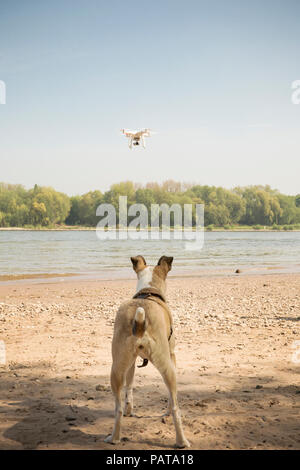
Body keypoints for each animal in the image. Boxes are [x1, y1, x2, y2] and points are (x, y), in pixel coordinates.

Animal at [104, 255, 189, 446]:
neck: (148, 290)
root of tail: (140, 323)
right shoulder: (172, 356)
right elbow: (170, 397)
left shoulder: (131, 364)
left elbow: (129, 386)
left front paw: (129, 409)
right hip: (167, 365)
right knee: (176, 408)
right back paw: (181, 441)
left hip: (117, 368)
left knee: (118, 408)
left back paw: (115, 438)